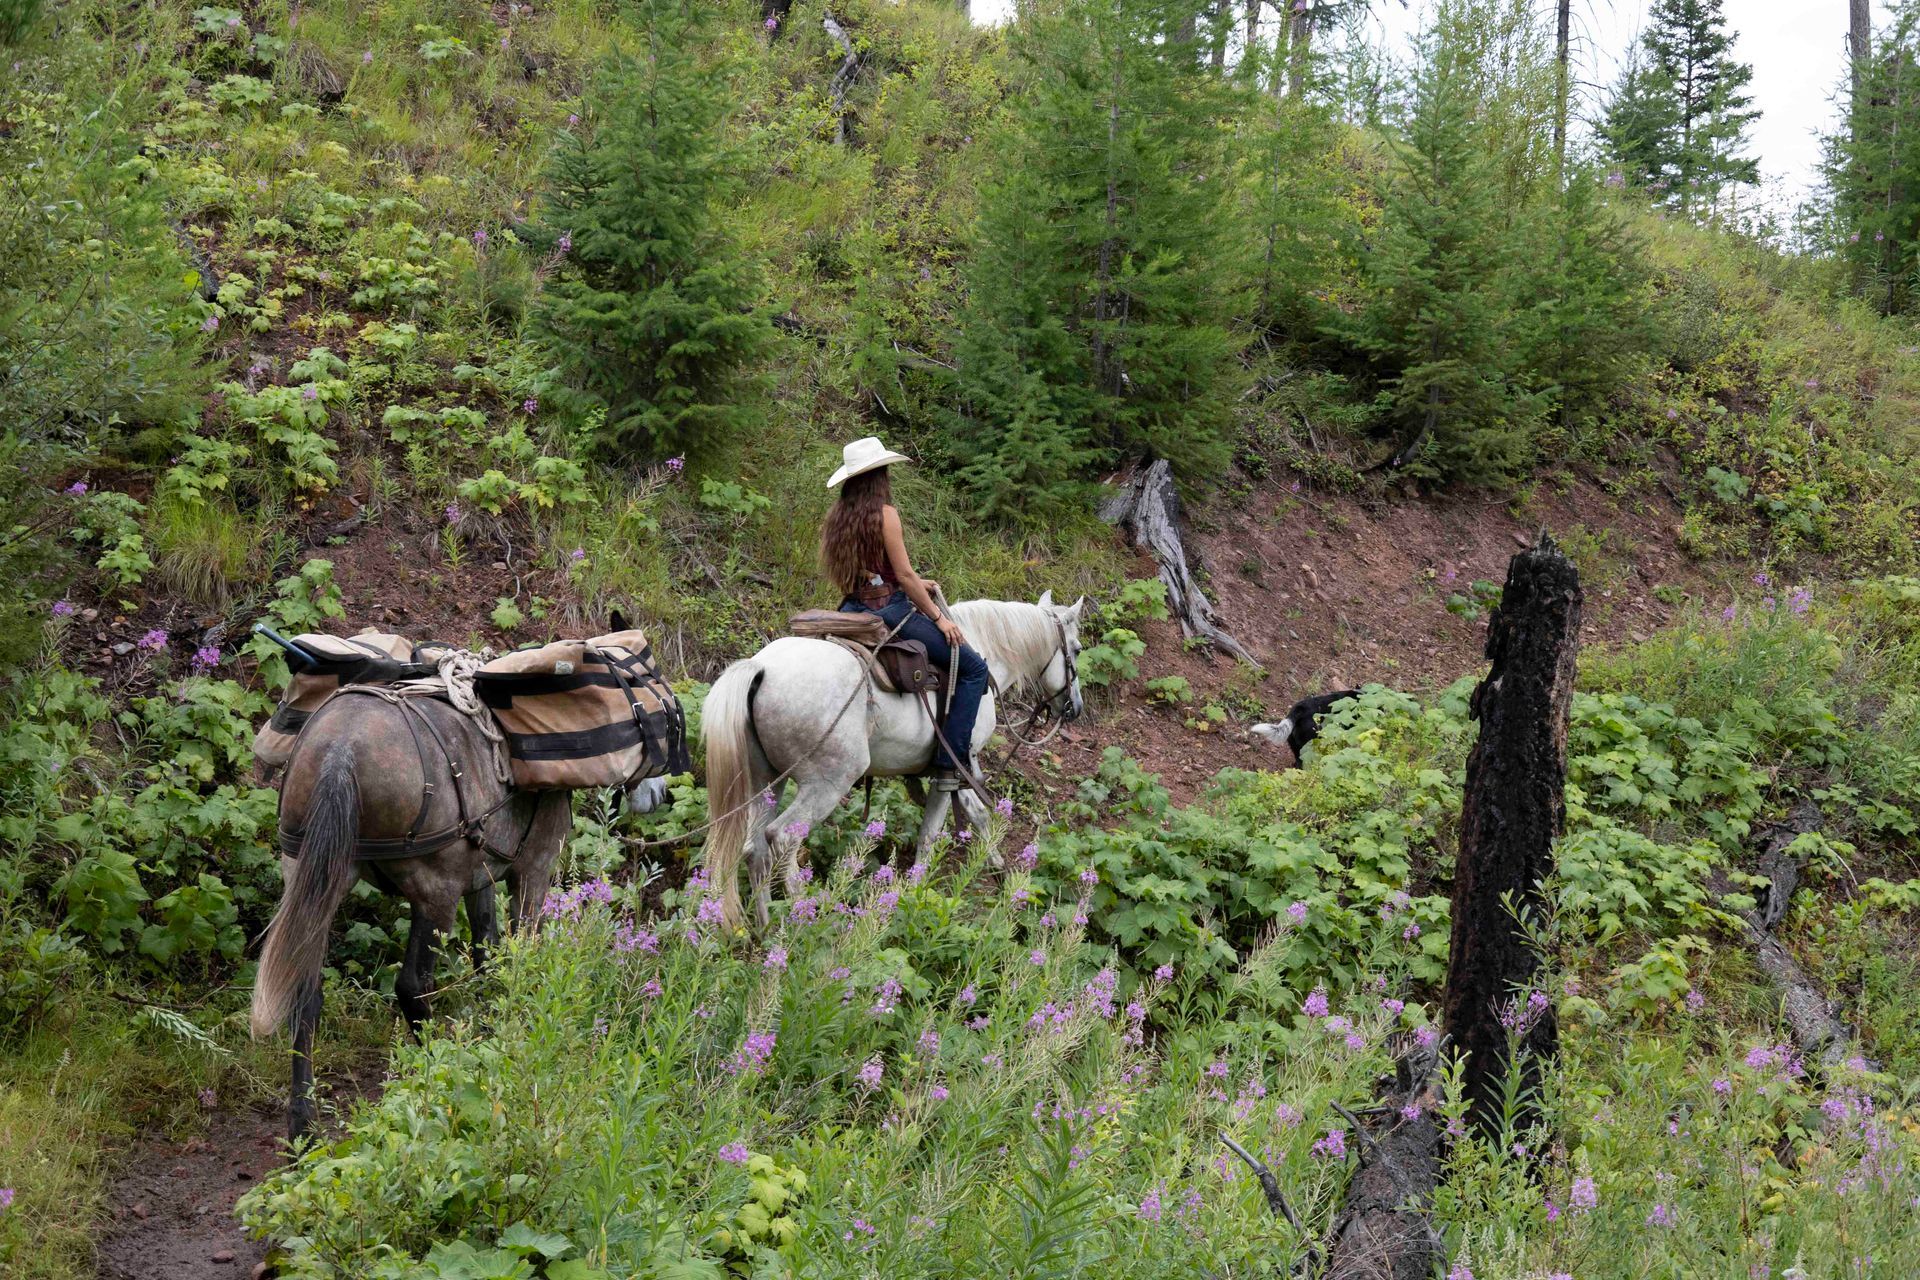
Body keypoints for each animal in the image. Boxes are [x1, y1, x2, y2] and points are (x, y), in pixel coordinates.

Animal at [249, 676, 673, 1142]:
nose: (661, 791)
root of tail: (341, 748)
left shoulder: (481, 876)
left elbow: (488, 952)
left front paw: (493, 1027)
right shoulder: (533, 870)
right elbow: (521, 958)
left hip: (315, 881)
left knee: (305, 993)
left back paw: (303, 1122)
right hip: (434, 896)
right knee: (412, 987)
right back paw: (436, 1075)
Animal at [700, 591, 1086, 928]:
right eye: (1078, 649)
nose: (1075, 708)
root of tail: (762, 667)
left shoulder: (958, 766)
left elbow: (975, 814)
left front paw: (994, 864)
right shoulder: (953, 765)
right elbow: (931, 833)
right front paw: (917, 893)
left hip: (766, 781)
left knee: (754, 849)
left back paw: (765, 929)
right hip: (827, 783)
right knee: (782, 839)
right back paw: (802, 923)